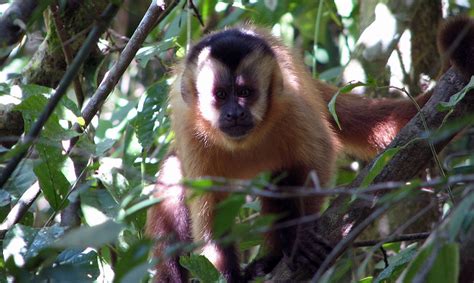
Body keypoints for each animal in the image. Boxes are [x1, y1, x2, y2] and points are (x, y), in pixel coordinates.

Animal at [146, 16, 474, 282]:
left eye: (245, 93)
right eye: (221, 95)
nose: (234, 113)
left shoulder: (291, 102)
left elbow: (317, 158)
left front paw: (297, 241)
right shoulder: (190, 129)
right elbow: (211, 209)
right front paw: (228, 275)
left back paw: (273, 258)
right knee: (173, 177)